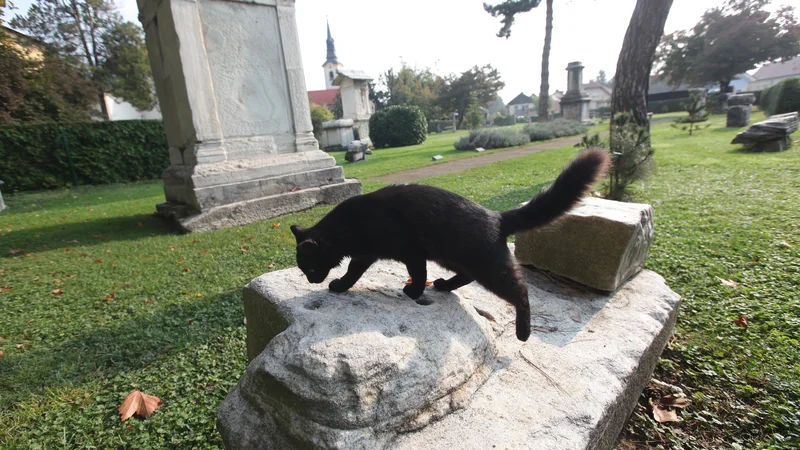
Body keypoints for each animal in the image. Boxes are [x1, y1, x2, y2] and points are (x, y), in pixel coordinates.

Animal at [290, 148, 608, 342]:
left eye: (309, 268)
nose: (311, 280)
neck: (348, 226)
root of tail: (496, 216)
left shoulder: (409, 251)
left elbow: (415, 274)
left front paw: (411, 292)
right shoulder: (369, 254)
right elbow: (356, 271)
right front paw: (343, 285)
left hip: (489, 268)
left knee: (520, 290)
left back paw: (524, 332)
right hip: (451, 257)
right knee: (466, 276)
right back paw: (444, 286)